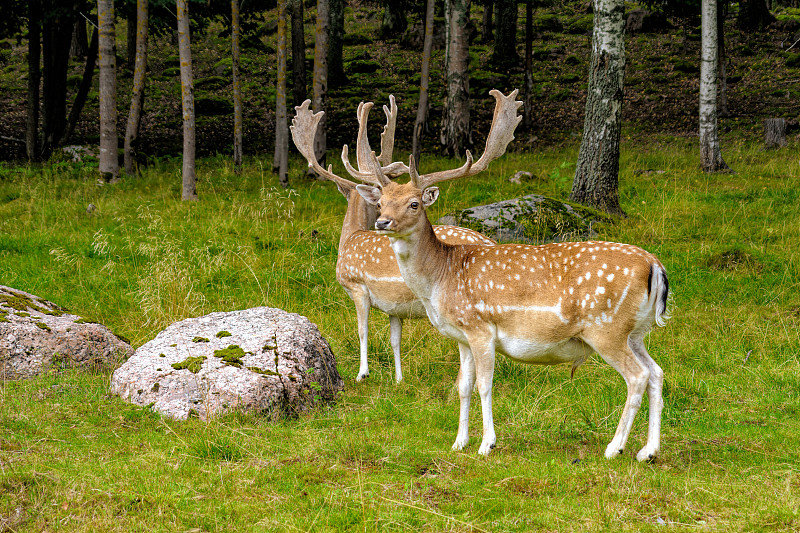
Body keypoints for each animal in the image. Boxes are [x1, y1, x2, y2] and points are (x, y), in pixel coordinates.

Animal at [292, 94, 494, 378]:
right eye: (381, 202)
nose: (381, 222)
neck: (349, 239)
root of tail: (491, 242)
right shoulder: (393, 307)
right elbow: (395, 339)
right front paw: (398, 378)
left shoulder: (358, 286)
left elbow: (362, 330)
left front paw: (362, 373)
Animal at [354, 89, 672, 460]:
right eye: (382, 202)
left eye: (414, 203)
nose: (382, 223)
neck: (441, 279)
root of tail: (655, 266)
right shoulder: (461, 336)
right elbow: (463, 385)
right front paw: (458, 442)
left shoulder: (480, 327)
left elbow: (484, 385)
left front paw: (486, 444)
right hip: (636, 331)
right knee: (657, 373)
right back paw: (648, 450)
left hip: (606, 328)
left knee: (637, 377)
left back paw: (615, 447)